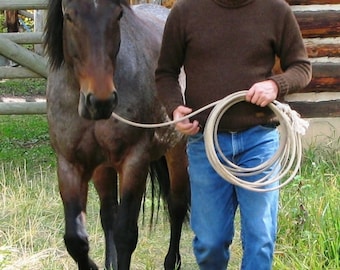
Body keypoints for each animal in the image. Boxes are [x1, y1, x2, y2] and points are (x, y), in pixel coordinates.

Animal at [42, 1, 190, 268]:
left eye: (118, 15)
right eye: (69, 16)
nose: (101, 101)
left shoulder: (134, 162)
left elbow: (126, 235)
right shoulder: (69, 165)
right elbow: (76, 239)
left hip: (177, 149)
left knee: (177, 205)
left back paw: (170, 261)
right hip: (103, 167)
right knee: (108, 213)